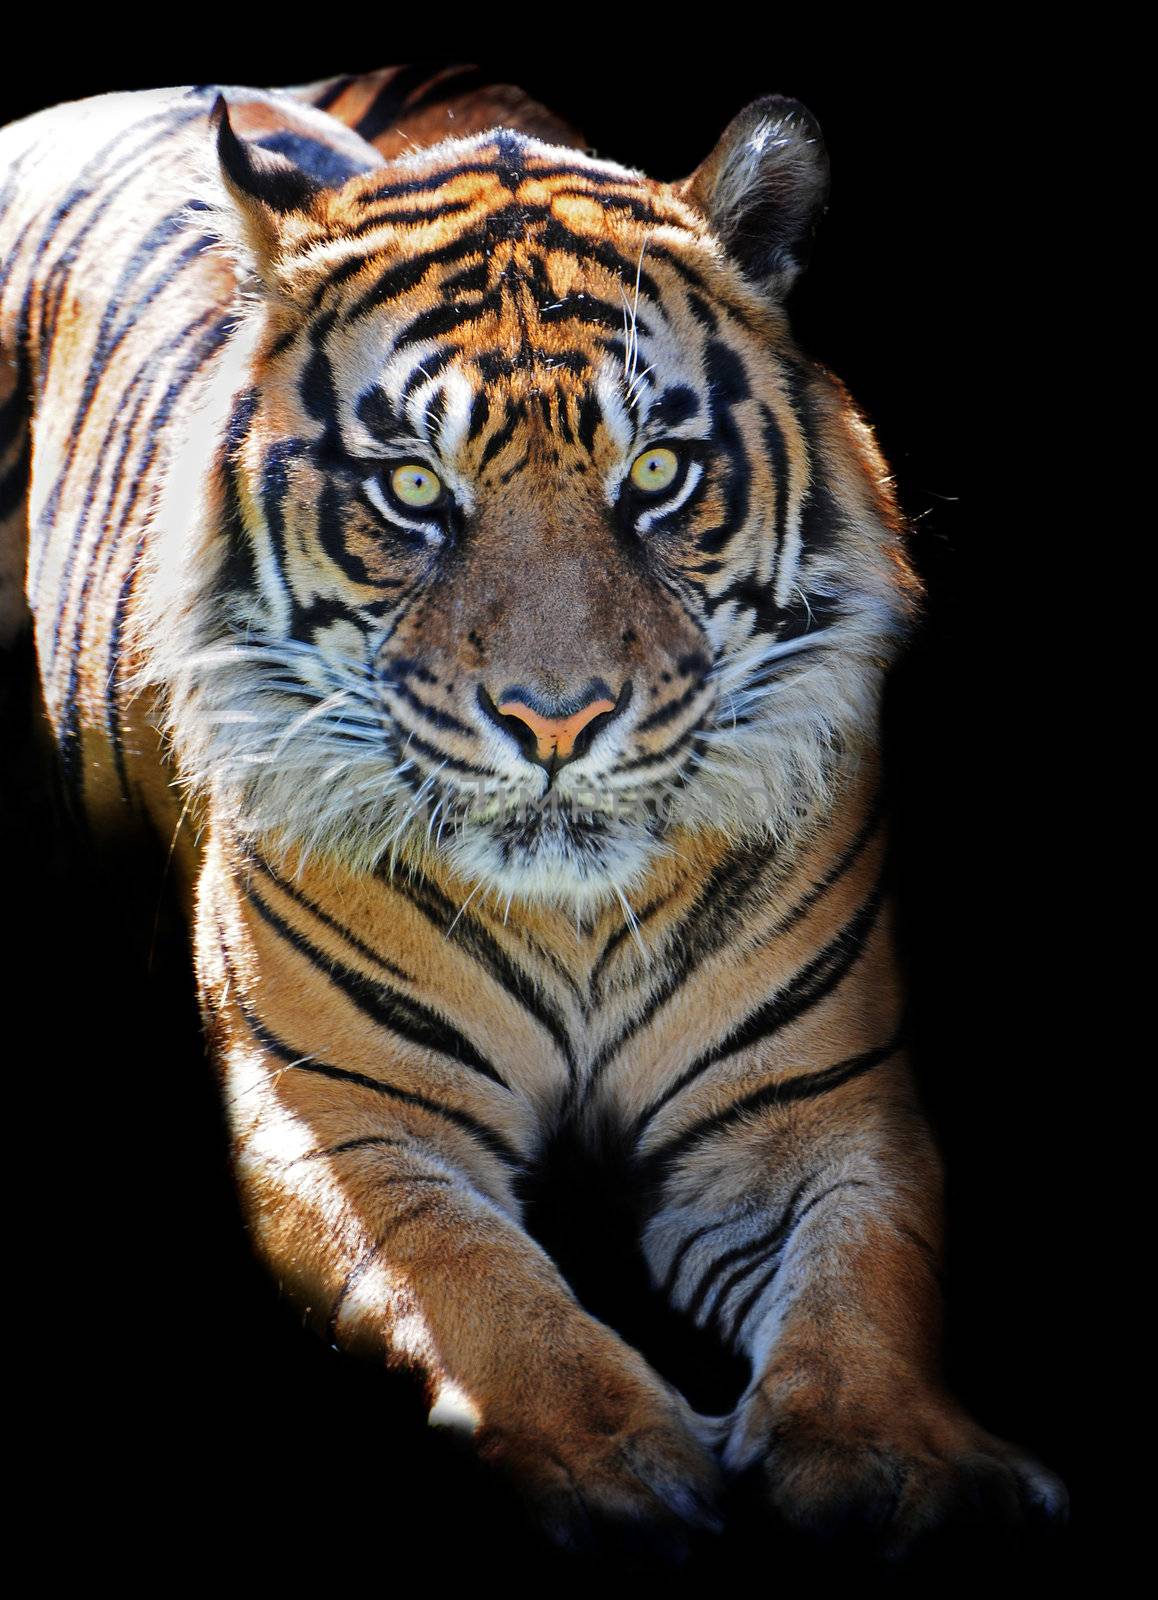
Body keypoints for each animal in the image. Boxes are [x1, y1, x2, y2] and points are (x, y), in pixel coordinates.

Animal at [0, 65, 1068, 1561]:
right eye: (412, 489)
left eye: (658, 476)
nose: (555, 722)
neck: (574, 917)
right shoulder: (343, 1108)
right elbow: (474, 1286)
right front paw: (615, 1462)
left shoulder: (817, 1103)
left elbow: (867, 1281)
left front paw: (890, 1459)